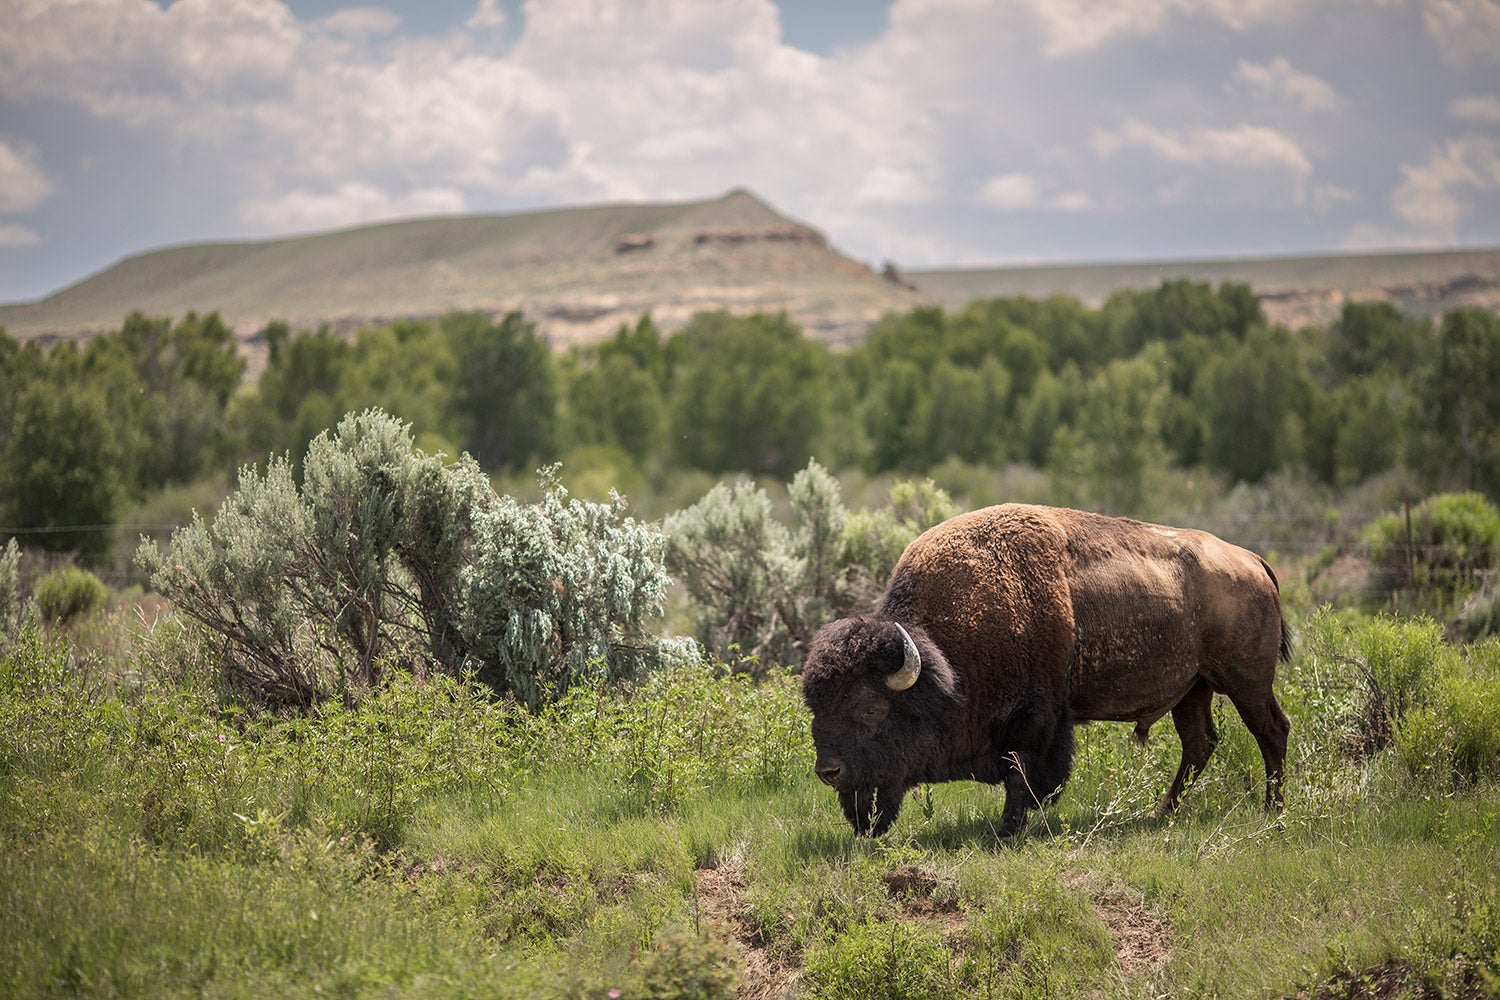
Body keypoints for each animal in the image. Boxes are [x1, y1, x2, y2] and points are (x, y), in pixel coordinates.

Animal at [801, 504, 1291, 838]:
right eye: (815, 708)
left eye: (869, 708)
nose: (828, 771)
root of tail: (1253, 561)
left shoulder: (1036, 718)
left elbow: (1021, 774)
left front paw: (1006, 830)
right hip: (1192, 690)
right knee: (1200, 744)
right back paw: (1160, 812)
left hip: (1245, 682)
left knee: (1271, 731)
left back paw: (1274, 810)